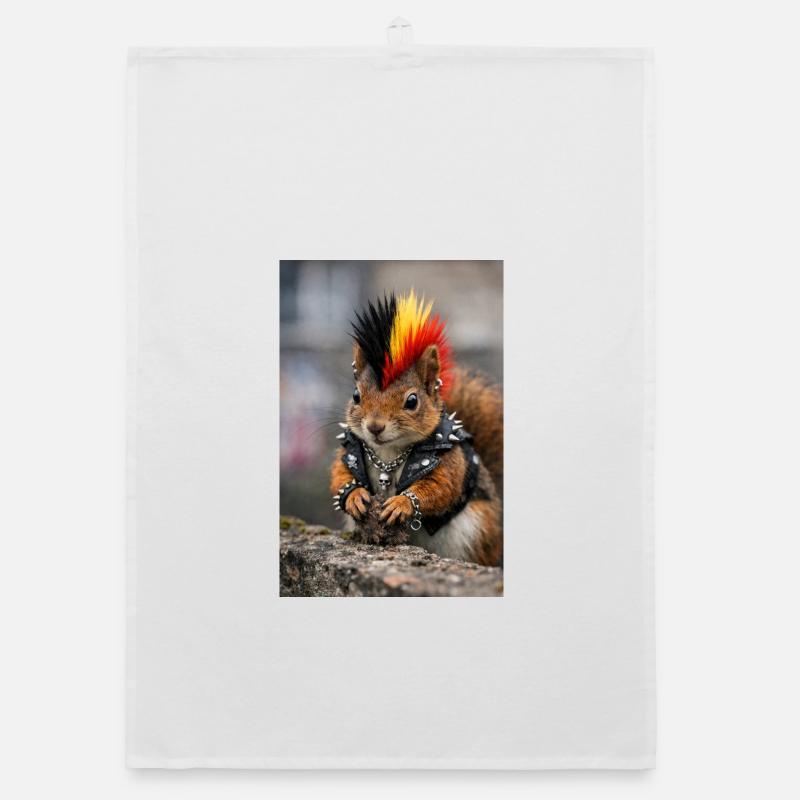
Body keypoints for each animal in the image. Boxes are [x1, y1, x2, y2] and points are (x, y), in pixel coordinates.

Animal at [329, 290, 503, 566]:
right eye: (356, 395)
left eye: (412, 401)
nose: (375, 427)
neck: (389, 452)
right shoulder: (350, 448)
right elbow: (340, 475)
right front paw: (355, 496)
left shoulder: (449, 460)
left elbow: (440, 487)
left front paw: (402, 503)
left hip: (477, 533)